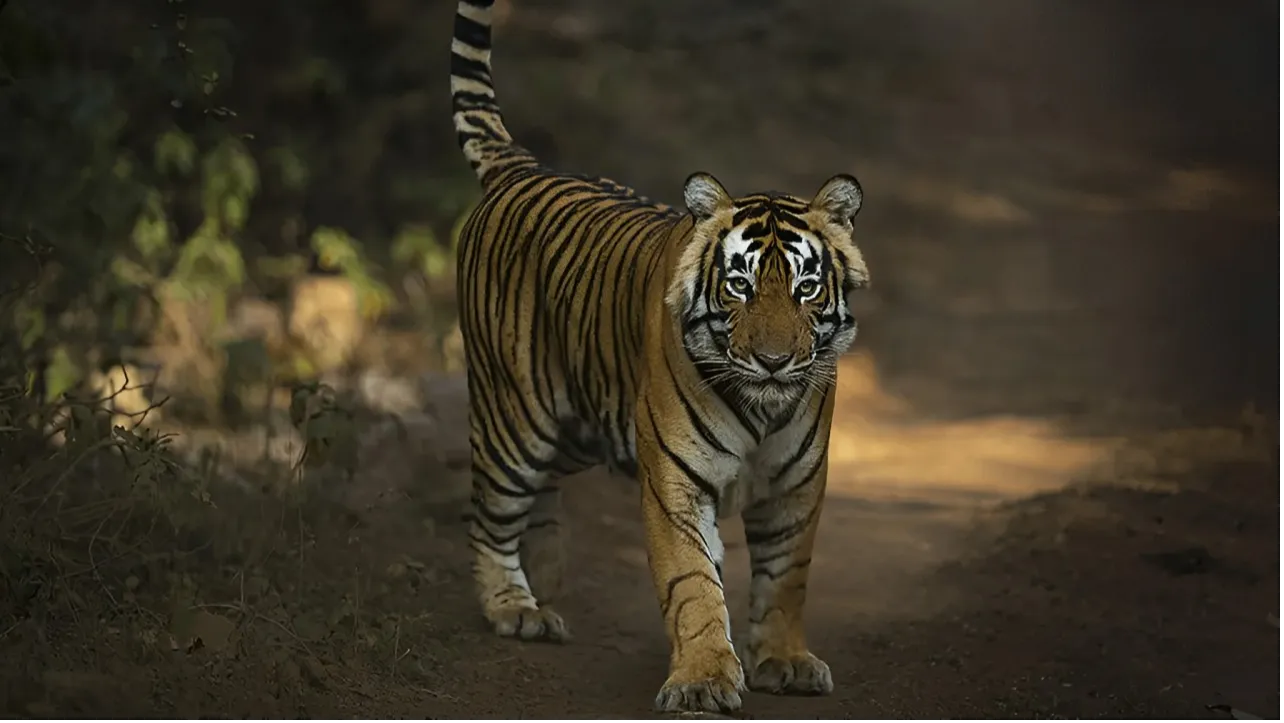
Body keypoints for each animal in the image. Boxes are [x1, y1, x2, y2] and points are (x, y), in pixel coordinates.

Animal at [448, 0, 869, 714]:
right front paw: (703, 680)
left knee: (542, 493)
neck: (764, 408)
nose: (775, 361)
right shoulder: (675, 480)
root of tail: (525, 168)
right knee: (490, 511)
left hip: (581, 423)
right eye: (740, 285)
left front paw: (784, 661)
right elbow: (694, 584)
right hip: (518, 416)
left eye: (807, 288)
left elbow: (786, 578)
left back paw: (547, 574)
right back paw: (516, 608)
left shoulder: (797, 484)